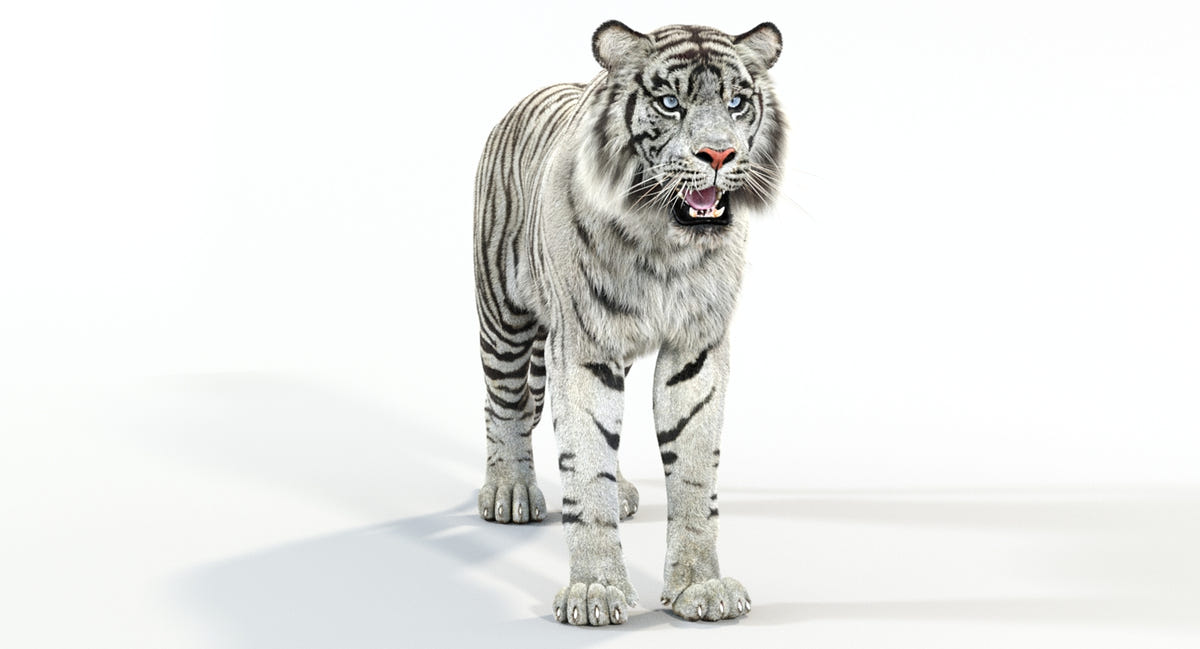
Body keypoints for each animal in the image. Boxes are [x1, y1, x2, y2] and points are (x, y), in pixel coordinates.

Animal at [473, 20, 786, 625]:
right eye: (670, 103)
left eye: (737, 103)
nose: (719, 153)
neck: (663, 243)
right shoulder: (583, 346)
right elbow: (584, 462)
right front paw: (595, 591)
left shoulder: (695, 348)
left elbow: (692, 470)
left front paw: (700, 587)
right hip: (503, 313)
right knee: (506, 406)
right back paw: (509, 490)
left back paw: (619, 490)